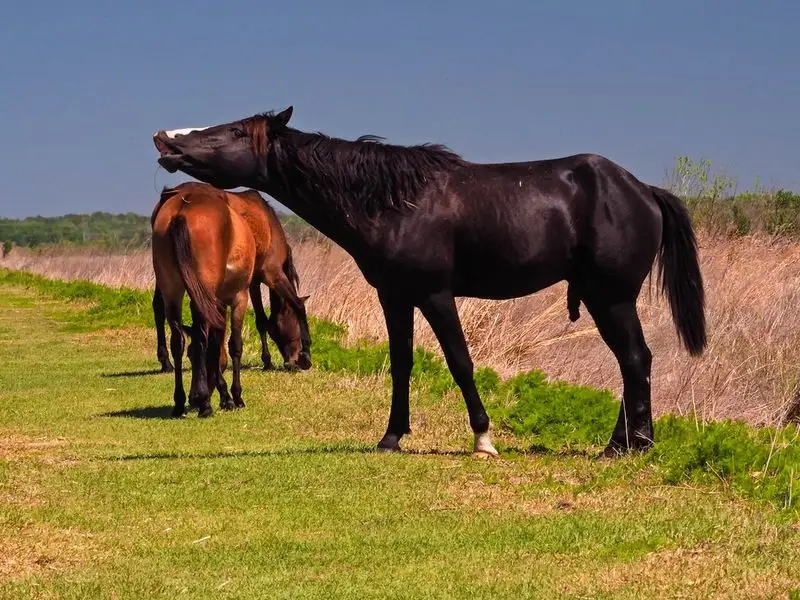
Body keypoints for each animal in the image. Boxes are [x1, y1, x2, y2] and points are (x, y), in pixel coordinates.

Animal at [151, 183, 309, 418]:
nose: (293, 361)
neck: (267, 223)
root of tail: (180, 207)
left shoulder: (242, 287)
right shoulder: (269, 274)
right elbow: (291, 308)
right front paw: (299, 355)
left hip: (171, 285)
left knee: (173, 329)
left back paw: (176, 387)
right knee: (200, 336)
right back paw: (203, 400)